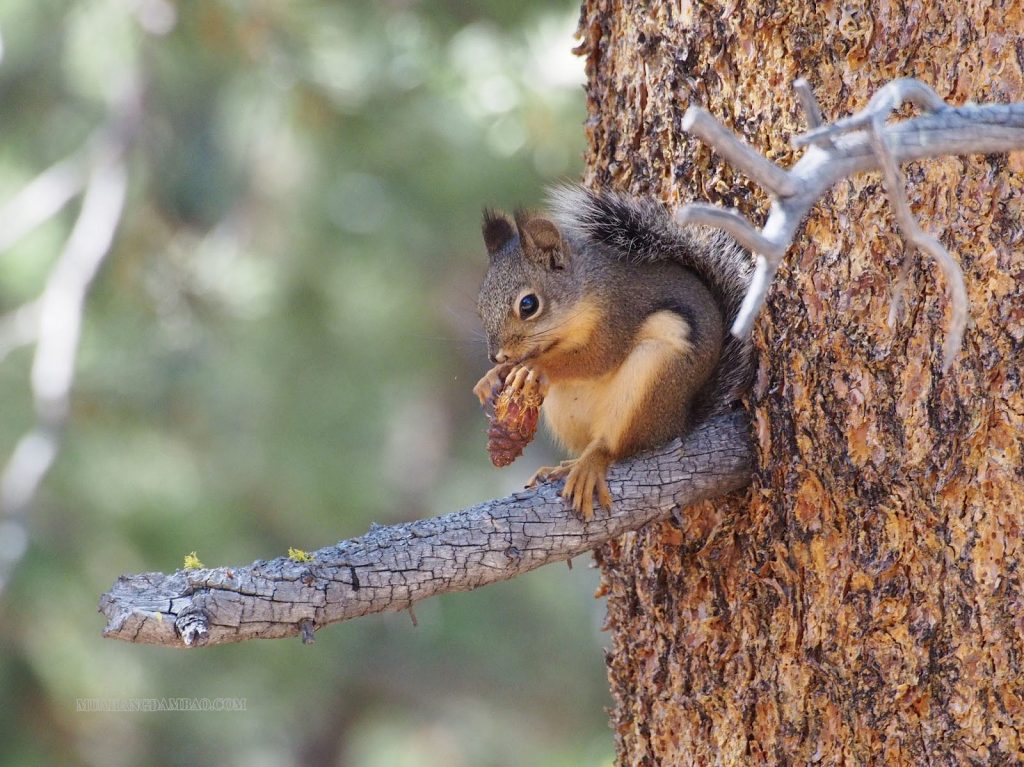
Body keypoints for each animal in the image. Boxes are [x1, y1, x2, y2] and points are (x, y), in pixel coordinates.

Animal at [471, 187, 753, 520]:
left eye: (528, 305)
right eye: (480, 307)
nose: (496, 356)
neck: (585, 291)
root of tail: (678, 422)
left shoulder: (618, 315)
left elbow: (597, 358)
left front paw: (537, 368)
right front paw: (491, 378)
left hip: (652, 376)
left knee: (615, 447)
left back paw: (591, 465)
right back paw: (564, 467)